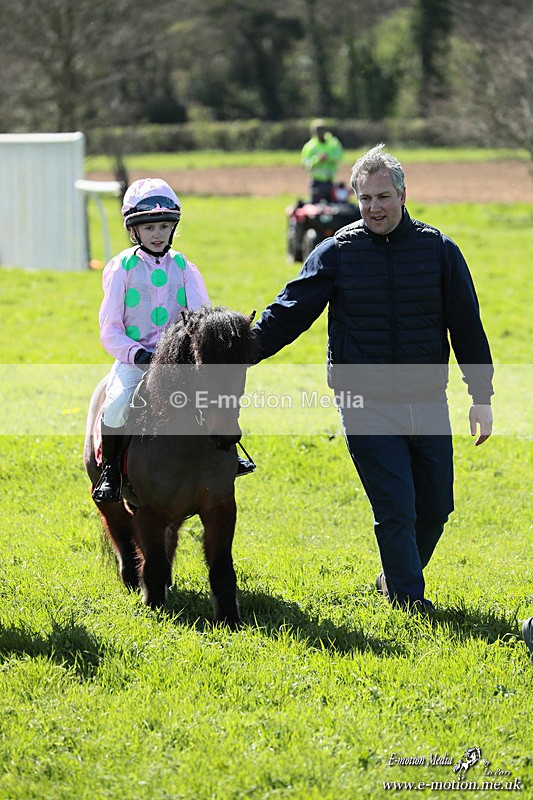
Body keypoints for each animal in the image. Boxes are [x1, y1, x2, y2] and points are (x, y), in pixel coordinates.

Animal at [84, 305, 257, 626]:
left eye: (244, 367)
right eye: (200, 367)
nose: (227, 435)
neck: (188, 446)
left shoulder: (220, 508)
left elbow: (221, 568)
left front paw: (229, 619)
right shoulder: (149, 511)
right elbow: (152, 562)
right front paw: (154, 608)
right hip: (109, 501)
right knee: (122, 536)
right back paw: (132, 580)